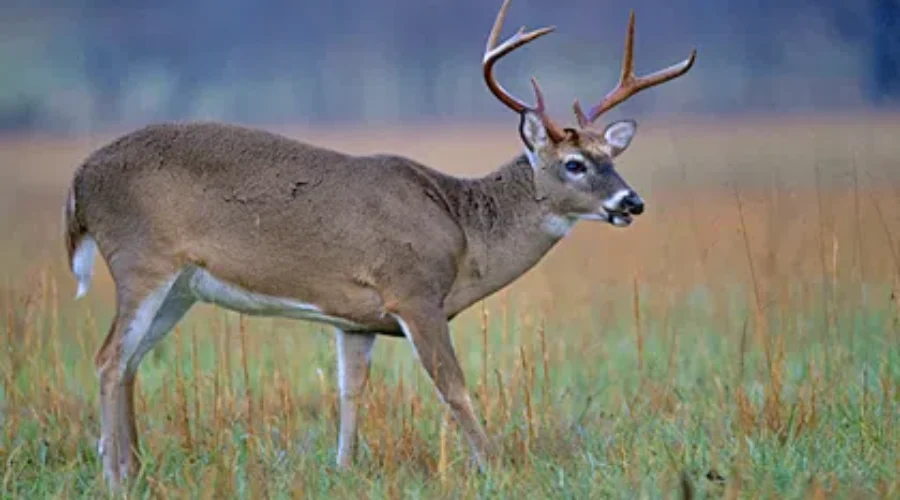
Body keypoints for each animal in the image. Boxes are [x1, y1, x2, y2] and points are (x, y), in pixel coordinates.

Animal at [63, 0, 694, 489]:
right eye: (574, 163)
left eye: (611, 155)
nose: (632, 202)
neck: (463, 229)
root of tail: (79, 181)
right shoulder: (413, 292)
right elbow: (454, 388)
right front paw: (494, 467)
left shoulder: (355, 319)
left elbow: (351, 393)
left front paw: (343, 469)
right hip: (143, 262)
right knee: (109, 358)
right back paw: (115, 476)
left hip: (181, 288)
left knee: (131, 362)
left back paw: (135, 466)